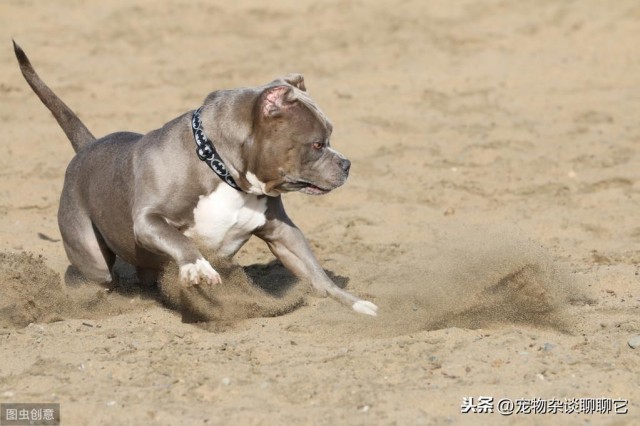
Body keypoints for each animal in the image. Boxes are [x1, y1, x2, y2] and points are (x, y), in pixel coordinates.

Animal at [12, 42, 378, 316]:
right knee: (93, 275)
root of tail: (87, 145)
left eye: (329, 136)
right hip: (90, 254)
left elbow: (315, 272)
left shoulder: (282, 232)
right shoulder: (148, 221)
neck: (221, 169)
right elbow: (181, 240)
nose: (346, 164)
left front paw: (355, 304)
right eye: (317, 144)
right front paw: (197, 267)